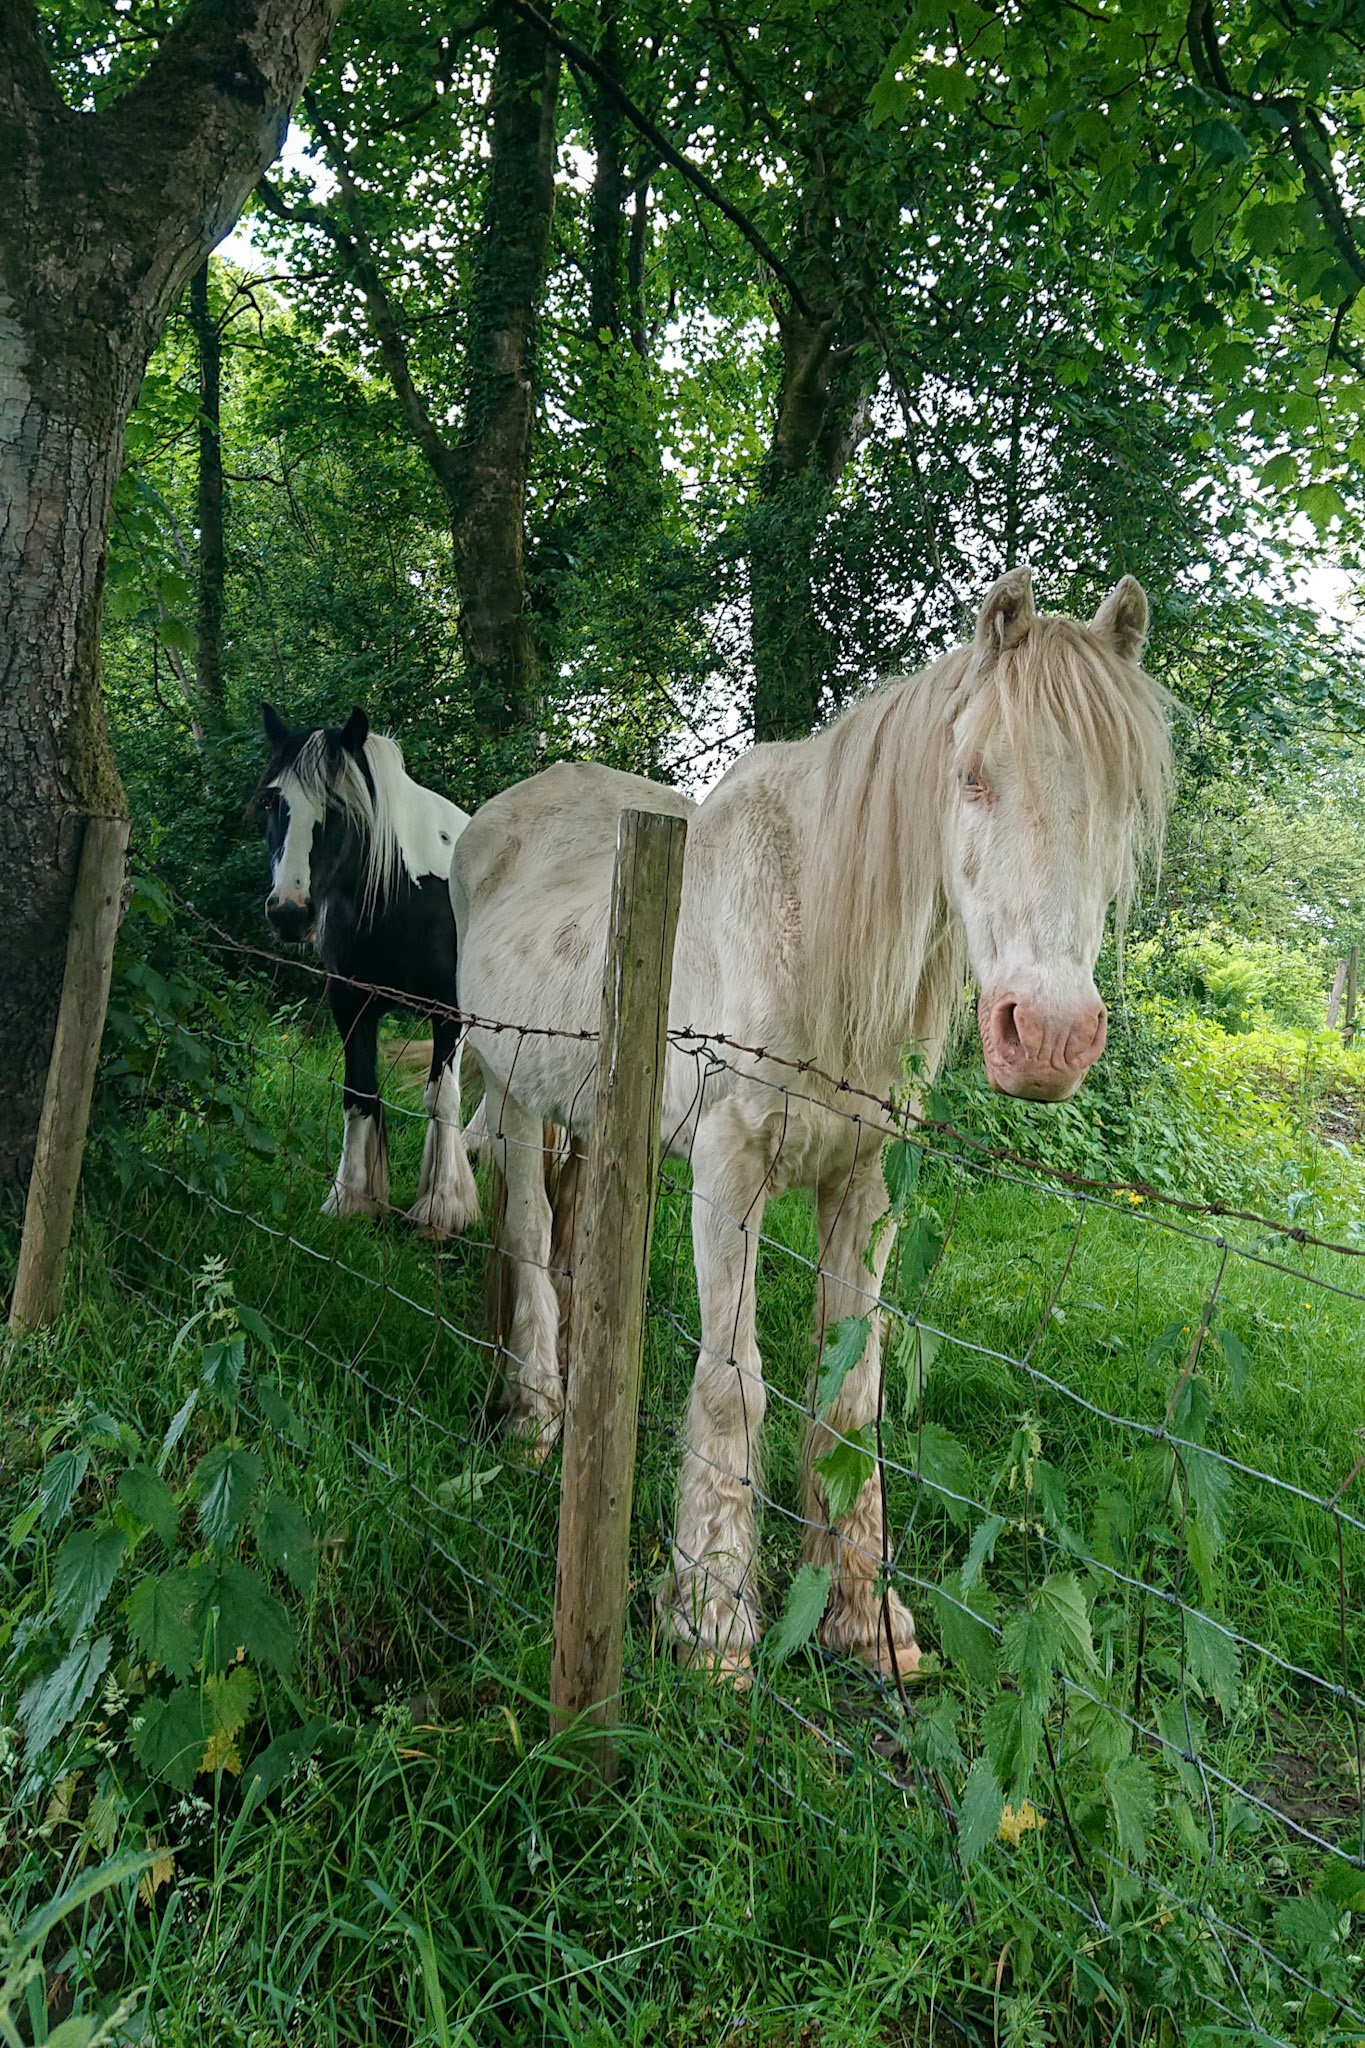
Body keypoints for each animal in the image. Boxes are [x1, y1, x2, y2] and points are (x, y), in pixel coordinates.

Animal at [259, 703, 479, 1239]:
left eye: (337, 808)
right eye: (273, 802)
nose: (289, 912)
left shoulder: (450, 1011)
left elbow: (442, 1098)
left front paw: (442, 1209)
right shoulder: (351, 1001)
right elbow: (358, 1091)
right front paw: (352, 1199)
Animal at [452, 569, 1171, 1678]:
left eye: (1122, 802)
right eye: (972, 776)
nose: (1048, 1034)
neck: (814, 933)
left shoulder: (865, 1182)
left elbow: (849, 1395)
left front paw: (865, 1616)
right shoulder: (728, 1167)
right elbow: (732, 1383)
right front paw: (713, 1620)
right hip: (511, 1081)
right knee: (528, 1229)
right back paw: (535, 1418)